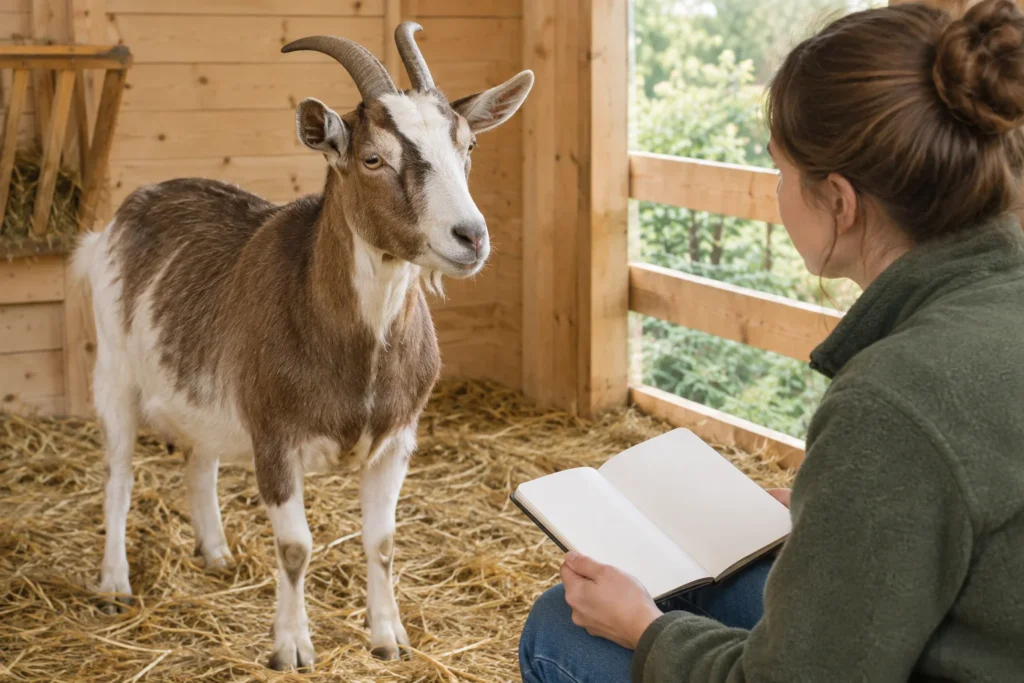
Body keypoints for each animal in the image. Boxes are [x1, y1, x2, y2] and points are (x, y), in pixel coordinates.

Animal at [71, 23, 533, 670]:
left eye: (468, 147)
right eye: (373, 158)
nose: (471, 237)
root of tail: (120, 219)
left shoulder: (397, 441)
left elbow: (383, 541)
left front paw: (390, 639)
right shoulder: (275, 437)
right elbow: (295, 546)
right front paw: (291, 648)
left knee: (200, 461)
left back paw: (216, 554)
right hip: (113, 374)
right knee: (118, 475)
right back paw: (114, 584)